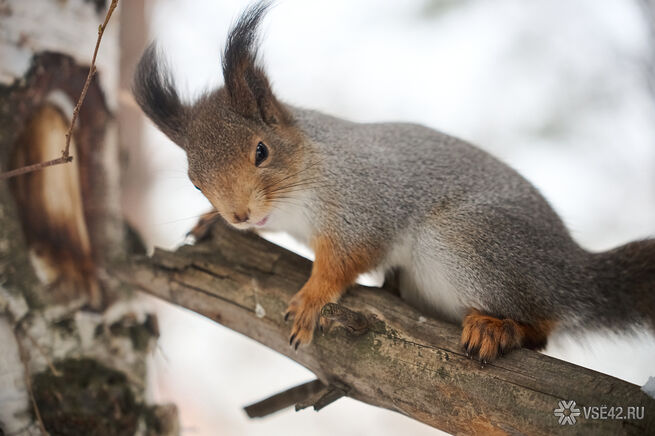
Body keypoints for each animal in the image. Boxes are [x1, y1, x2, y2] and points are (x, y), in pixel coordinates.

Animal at [133, 1, 655, 363]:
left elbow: (346, 259)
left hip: (469, 240)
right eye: (195, 182)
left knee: (543, 325)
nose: (239, 214)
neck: (306, 178)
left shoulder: (363, 204)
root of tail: (576, 272)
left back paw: (498, 328)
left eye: (261, 152)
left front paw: (312, 298)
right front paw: (209, 220)